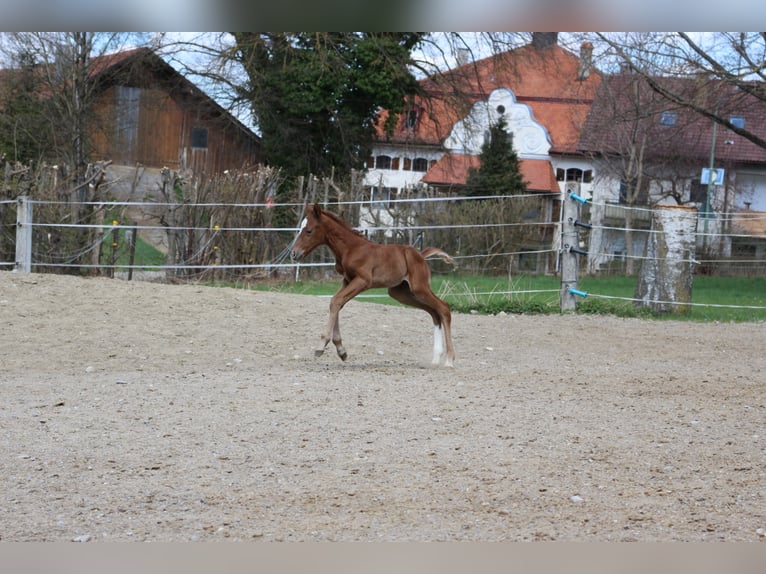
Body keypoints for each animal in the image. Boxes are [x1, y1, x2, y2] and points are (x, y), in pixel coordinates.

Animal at [288, 205, 456, 368]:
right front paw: (341, 351)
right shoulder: (347, 280)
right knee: (434, 312)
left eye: (309, 230)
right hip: (401, 293)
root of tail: (420, 255)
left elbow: (336, 301)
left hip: (419, 288)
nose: (294, 254)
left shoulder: (363, 281)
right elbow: (336, 302)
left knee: (443, 308)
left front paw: (321, 346)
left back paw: (449, 360)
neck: (350, 248)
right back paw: (436, 359)